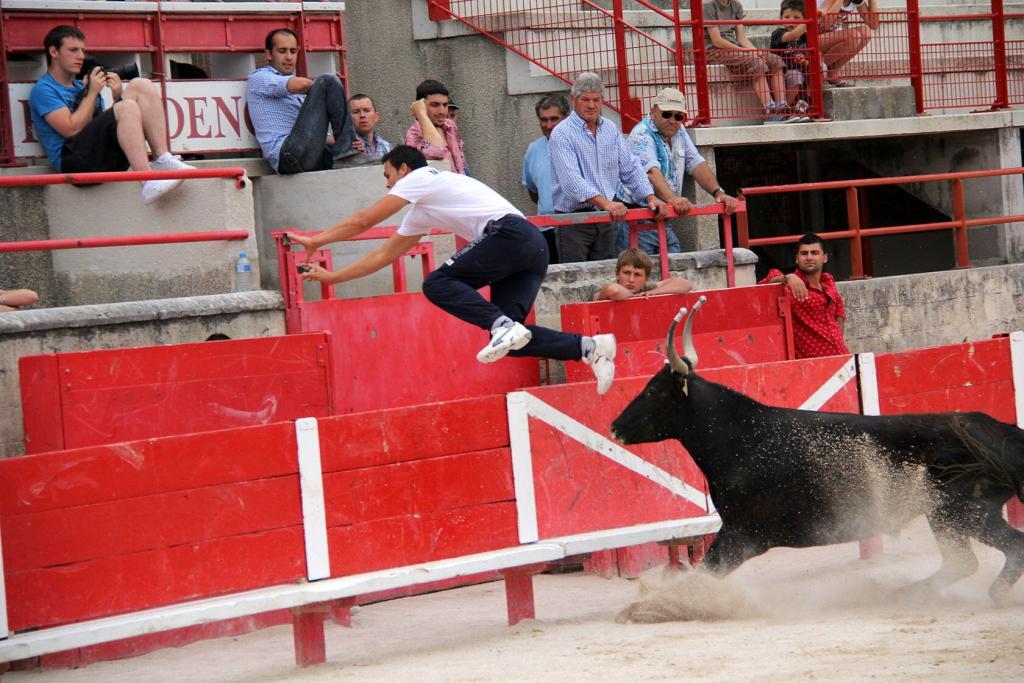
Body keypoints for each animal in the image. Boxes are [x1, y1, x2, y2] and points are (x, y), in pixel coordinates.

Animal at [606, 299, 1024, 602]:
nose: (614, 426)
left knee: (997, 551)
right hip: (956, 516)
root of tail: (997, 429)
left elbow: (704, 574)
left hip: (962, 513)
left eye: (653, 391)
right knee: (970, 560)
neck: (739, 435)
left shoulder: (742, 534)